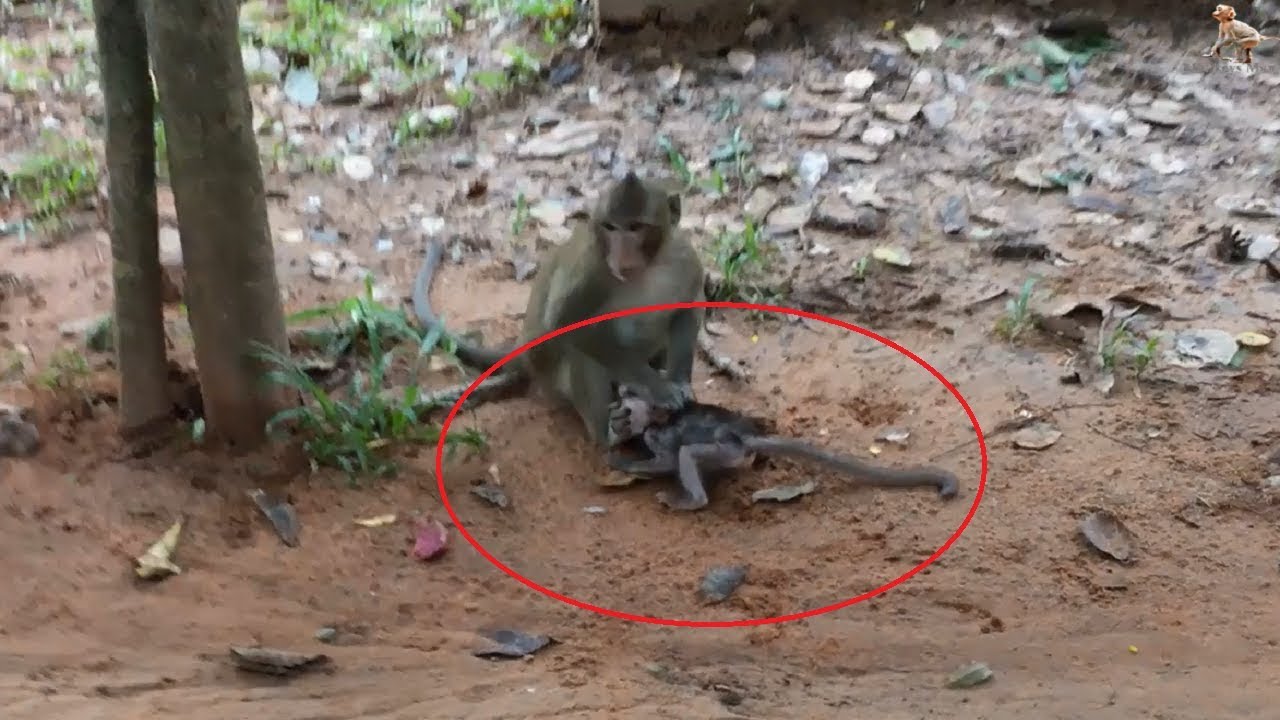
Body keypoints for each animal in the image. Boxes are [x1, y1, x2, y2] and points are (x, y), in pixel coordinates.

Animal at [413, 171, 706, 448]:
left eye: (636, 227)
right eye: (610, 227)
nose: (621, 256)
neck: (648, 268)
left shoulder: (684, 258)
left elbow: (687, 309)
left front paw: (679, 381)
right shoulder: (592, 271)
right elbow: (565, 323)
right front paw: (658, 388)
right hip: (554, 378)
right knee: (580, 350)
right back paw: (607, 433)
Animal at [605, 385, 960, 512]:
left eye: (625, 409)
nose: (613, 411)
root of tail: (742, 436)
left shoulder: (659, 437)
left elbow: (665, 460)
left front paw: (620, 463)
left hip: (724, 451)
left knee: (687, 454)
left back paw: (690, 502)